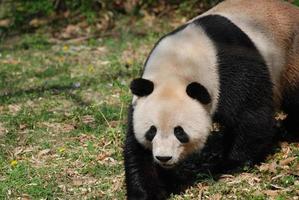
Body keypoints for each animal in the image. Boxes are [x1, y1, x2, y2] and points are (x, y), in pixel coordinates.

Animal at [123, 0, 299, 199]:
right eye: (151, 131)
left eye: (179, 131)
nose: (163, 158)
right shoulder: (143, 96)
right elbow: (137, 149)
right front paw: (148, 191)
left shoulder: (231, 70)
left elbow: (252, 116)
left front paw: (229, 164)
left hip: (290, 59)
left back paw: (289, 129)